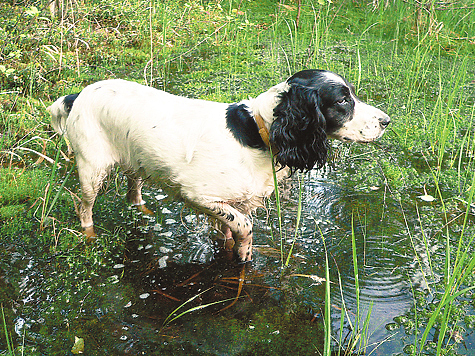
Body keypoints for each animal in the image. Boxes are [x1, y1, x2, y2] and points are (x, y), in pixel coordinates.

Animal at [48, 71, 390, 262]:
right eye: (342, 100)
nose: (387, 121)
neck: (257, 131)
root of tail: (78, 94)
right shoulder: (197, 194)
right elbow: (245, 227)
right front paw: (244, 256)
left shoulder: (232, 202)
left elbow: (230, 230)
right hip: (92, 170)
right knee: (84, 209)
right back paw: (90, 236)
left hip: (138, 161)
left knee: (133, 192)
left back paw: (144, 210)